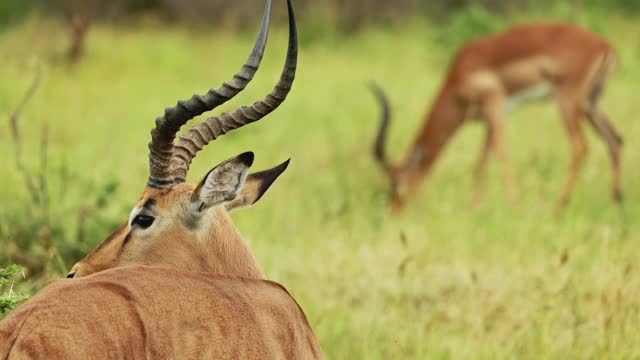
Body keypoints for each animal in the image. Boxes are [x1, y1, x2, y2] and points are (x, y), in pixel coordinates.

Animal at [372, 22, 624, 212]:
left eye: (396, 186)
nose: (393, 213)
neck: (458, 75)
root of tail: (606, 46)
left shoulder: (495, 103)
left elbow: (501, 153)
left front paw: (512, 206)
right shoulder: (486, 119)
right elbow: (481, 162)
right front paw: (474, 208)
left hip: (568, 103)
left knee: (580, 146)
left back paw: (558, 207)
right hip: (591, 104)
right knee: (615, 140)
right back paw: (616, 203)